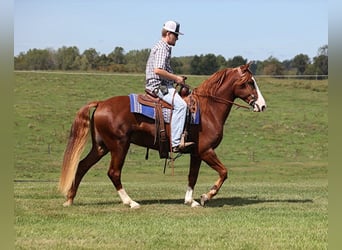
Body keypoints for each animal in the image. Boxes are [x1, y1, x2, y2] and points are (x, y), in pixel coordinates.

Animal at [58, 63, 268, 209]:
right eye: (250, 82)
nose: (262, 105)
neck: (207, 110)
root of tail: (101, 103)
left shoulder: (196, 153)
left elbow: (192, 176)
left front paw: (190, 200)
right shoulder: (206, 151)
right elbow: (224, 172)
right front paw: (206, 196)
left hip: (101, 147)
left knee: (82, 166)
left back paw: (70, 199)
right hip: (119, 145)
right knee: (113, 172)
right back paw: (130, 202)